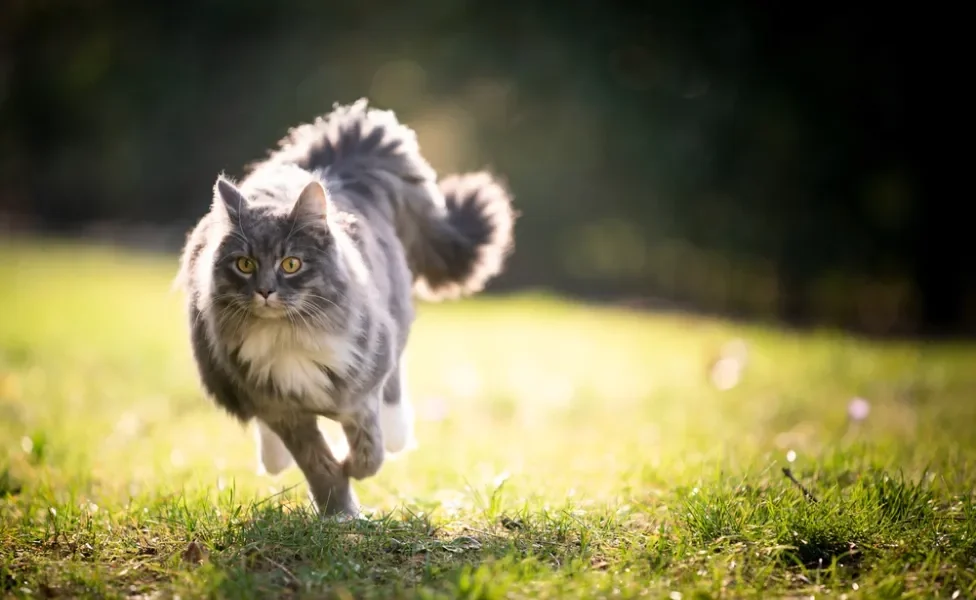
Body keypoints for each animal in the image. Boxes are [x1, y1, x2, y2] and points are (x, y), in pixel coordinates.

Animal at [175, 98, 516, 516]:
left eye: (291, 264)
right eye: (245, 264)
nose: (266, 291)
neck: (290, 333)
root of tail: (335, 161)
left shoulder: (360, 390)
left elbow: (370, 451)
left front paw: (351, 470)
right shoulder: (282, 408)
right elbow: (317, 463)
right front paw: (339, 509)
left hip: (392, 323)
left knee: (394, 395)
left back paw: (397, 433)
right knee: (267, 432)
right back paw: (275, 461)